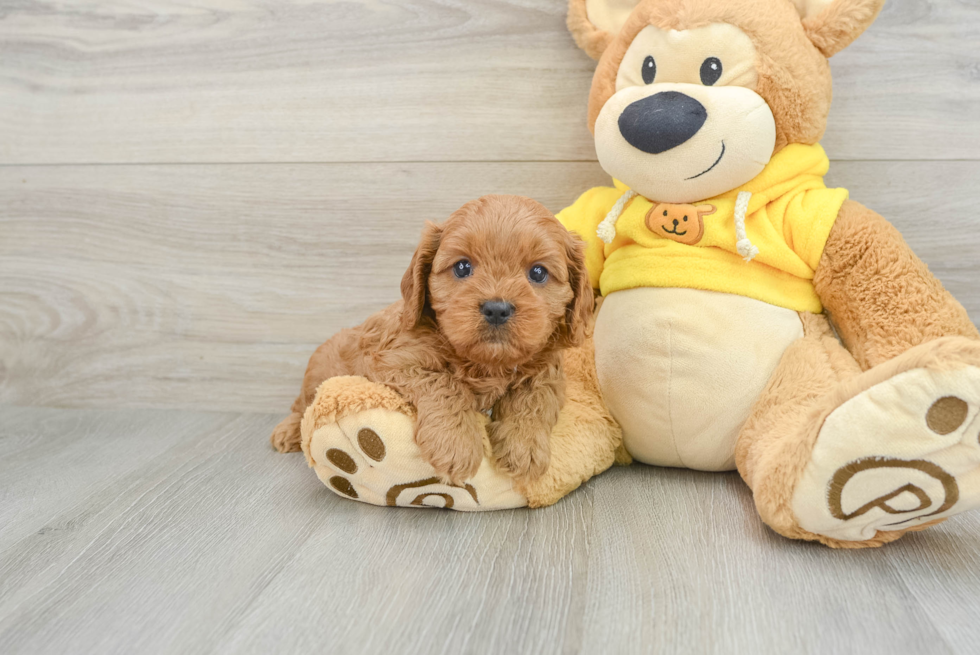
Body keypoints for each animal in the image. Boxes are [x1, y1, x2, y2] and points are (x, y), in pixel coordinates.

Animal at [270, 195, 588, 486]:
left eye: (538, 272)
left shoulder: (548, 371)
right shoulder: (396, 360)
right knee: (302, 407)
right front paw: (456, 445)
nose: (497, 309)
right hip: (318, 373)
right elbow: (445, 384)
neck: (486, 363)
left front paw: (524, 450)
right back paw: (287, 432)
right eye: (462, 267)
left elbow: (534, 399)